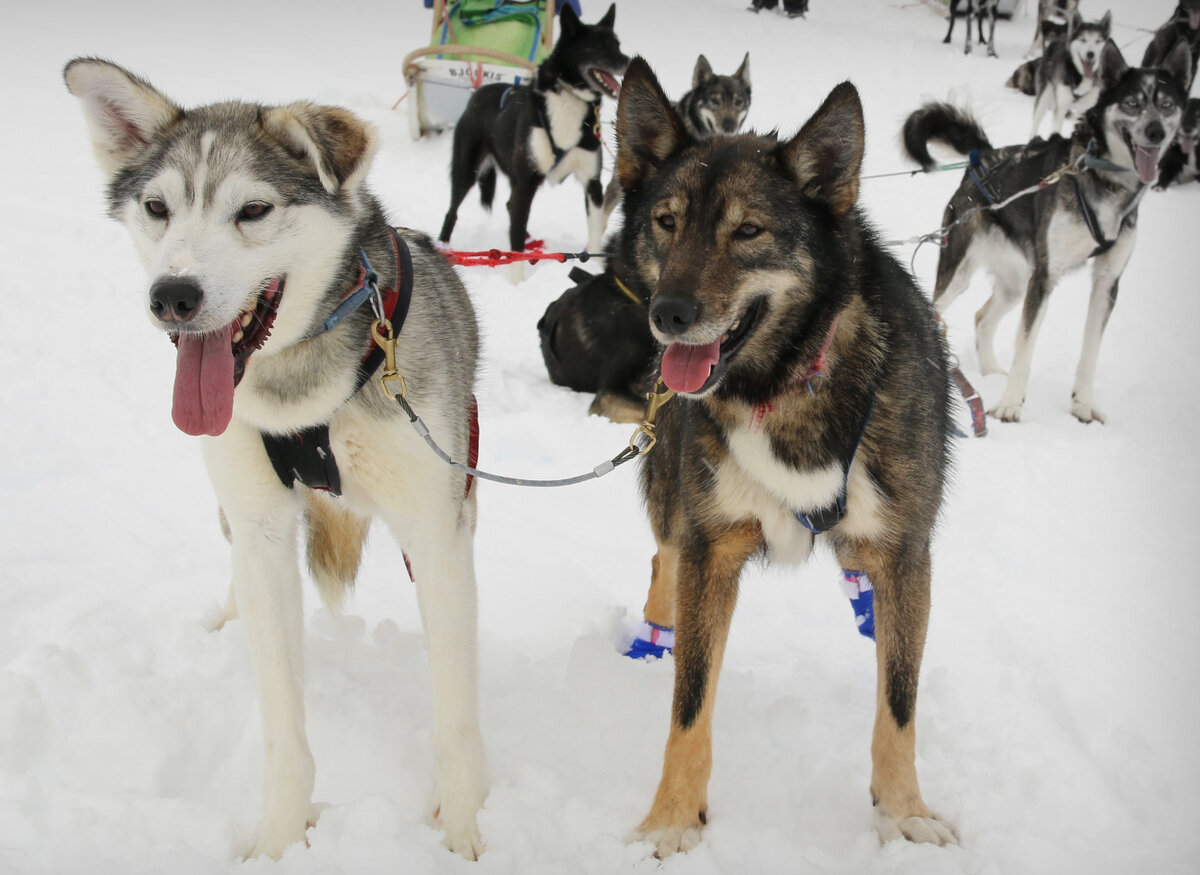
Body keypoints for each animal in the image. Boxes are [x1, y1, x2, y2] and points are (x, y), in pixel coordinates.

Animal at [439, 2, 628, 279]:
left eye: (617, 44)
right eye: (599, 46)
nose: (628, 60)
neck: (569, 100)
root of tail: (478, 93)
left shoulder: (591, 182)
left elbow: (594, 230)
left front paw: (592, 266)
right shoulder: (527, 180)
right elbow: (514, 238)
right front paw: (516, 282)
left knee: (510, 205)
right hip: (467, 170)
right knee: (453, 212)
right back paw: (444, 247)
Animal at [614, 56, 950, 854]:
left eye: (749, 231)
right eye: (667, 222)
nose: (668, 314)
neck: (786, 381)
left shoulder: (906, 550)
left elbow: (899, 699)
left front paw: (903, 811)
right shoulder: (712, 548)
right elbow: (690, 701)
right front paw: (672, 817)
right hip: (675, 494)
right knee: (663, 559)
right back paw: (652, 636)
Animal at [907, 39, 1190, 422]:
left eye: (1167, 105)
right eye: (1132, 103)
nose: (1156, 132)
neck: (1105, 182)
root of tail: (985, 157)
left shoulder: (1107, 282)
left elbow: (1090, 353)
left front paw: (1082, 404)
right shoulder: (1045, 277)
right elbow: (1024, 349)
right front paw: (1010, 405)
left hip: (1015, 284)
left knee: (983, 318)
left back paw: (991, 371)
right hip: (961, 272)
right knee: (936, 311)